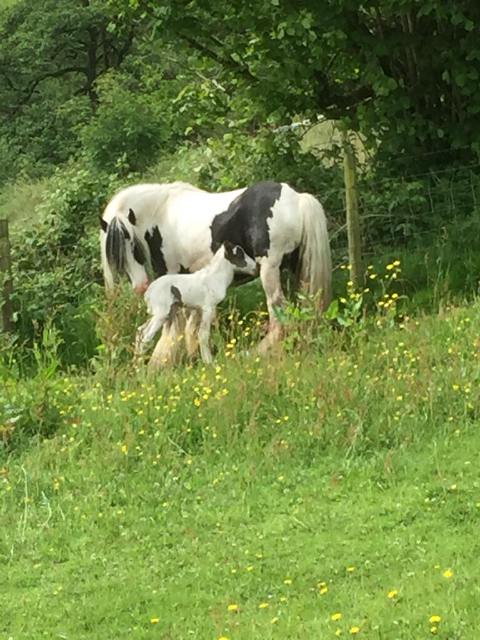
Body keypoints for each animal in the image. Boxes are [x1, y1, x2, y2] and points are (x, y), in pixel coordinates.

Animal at [100, 180, 332, 365]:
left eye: (133, 245)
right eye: (115, 254)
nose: (141, 287)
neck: (161, 212)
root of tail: (297, 198)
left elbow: (173, 331)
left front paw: (160, 364)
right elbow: (190, 328)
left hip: (270, 272)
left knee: (278, 318)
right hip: (298, 269)